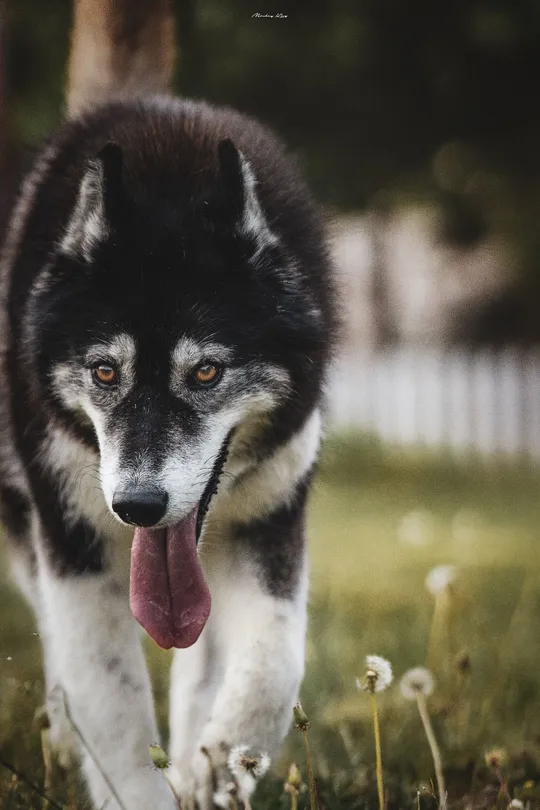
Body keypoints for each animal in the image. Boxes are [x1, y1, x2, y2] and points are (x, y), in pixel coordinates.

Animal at [1, 1, 334, 808]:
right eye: (105, 371)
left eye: (207, 372)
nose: (140, 507)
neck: (170, 178)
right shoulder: (74, 543)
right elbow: (111, 702)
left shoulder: (270, 522)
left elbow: (273, 665)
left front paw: (216, 766)